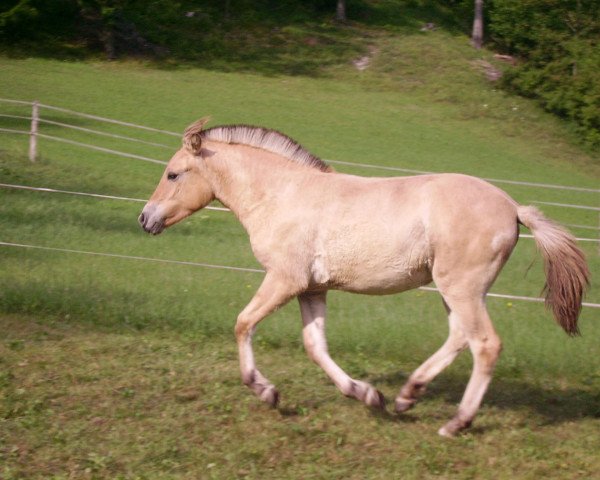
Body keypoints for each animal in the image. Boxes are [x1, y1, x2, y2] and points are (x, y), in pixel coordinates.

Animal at [138, 118, 588, 436]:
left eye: (173, 174)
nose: (145, 219)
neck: (282, 196)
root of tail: (513, 207)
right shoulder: (312, 289)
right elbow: (315, 346)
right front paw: (369, 396)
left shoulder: (284, 280)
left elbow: (243, 323)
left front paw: (266, 391)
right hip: (456, 290)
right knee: (460, 337)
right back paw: (407, 397)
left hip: (461, 288)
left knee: (485, 344)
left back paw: (456, 422)